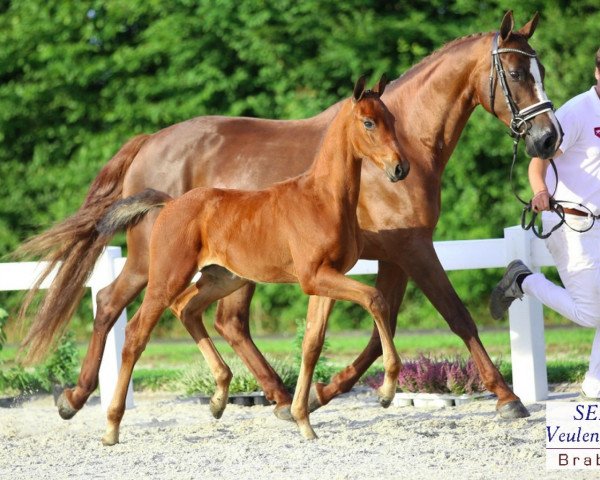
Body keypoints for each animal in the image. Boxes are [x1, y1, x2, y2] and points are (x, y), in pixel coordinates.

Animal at [98, 77, 410, 444]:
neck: (323, 199)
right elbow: (375, 299)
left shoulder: (325, 280)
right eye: (368, 122)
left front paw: (303, 420)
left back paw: (219, 398)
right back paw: (111, 426)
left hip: (222, 278)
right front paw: (387, 391)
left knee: (187, 309)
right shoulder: (314, 277)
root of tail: (171, 203)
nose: (400, 167)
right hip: (168, 276)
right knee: (136, 333)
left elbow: (311, 345)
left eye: (391, 119)